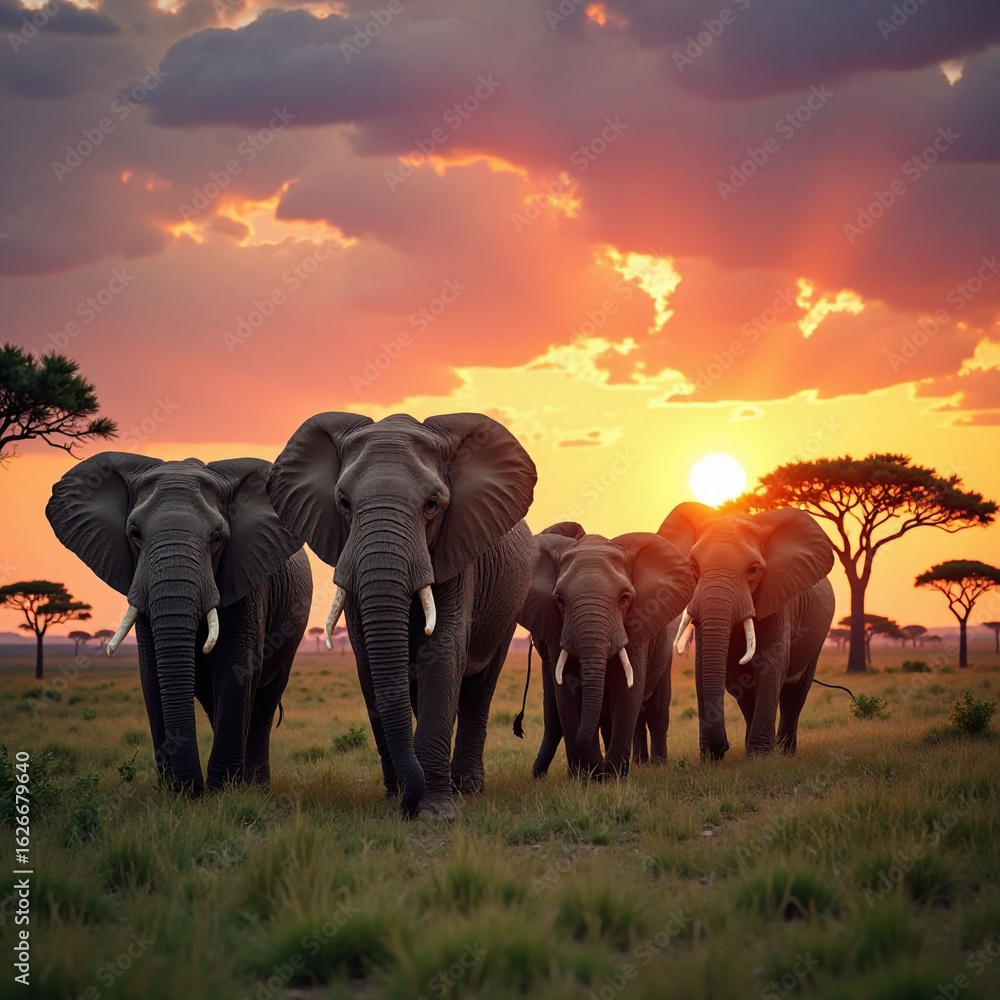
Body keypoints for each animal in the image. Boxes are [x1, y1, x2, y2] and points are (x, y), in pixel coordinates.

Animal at [46, 454, 312, 794]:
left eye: (217, 538)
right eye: (135, 533)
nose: (193, 789)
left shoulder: (248, 577)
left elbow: (235, 669)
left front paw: (221, 792)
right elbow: (152, 676)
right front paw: (179, 793)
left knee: (267, 696)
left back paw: (256, 788)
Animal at [266, 412, 536, 820]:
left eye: (433, 504)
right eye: (343, 502)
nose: (407, 804)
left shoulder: (458, 552)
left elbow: (441, 655)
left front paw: (435, 812)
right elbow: (368, 666)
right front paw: (398, 801)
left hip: (508, 605)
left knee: (480, 688)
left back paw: (468, 789)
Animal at [518, 522, 695, 779]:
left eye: (625, 598)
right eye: (559, 600)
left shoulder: (637, 623)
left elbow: (626, 690)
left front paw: (612, 777)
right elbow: (568, 692)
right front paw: (590, 777)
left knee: (655, 709)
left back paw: (656, 765)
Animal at [657, 502, 836, 761]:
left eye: (753, 570)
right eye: (694, 567)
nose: (723, 747)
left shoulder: (778, 596)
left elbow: (771, 662)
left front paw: (762, 756)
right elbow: (705, 665)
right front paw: (712, 757)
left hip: (818, 634)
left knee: (796, 691)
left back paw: (785, 752)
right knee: (745, 691)